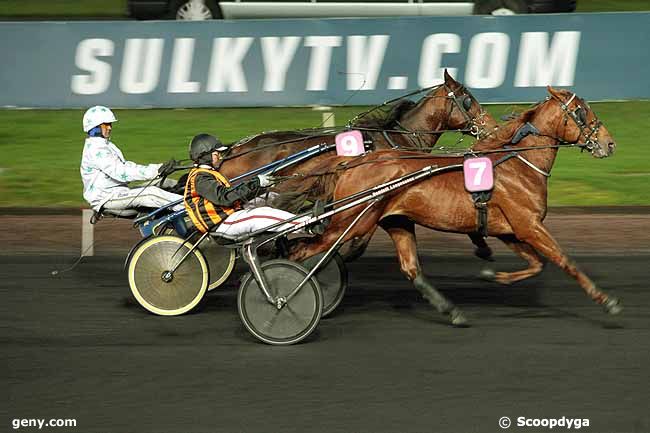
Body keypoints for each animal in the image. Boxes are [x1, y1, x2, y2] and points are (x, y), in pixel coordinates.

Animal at [288, 87, 616, 324]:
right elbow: (564, 261)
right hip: (350, 220)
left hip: (396, 221)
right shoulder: (529, 226)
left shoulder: (509, 231)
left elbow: (536, 264)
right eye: (581, 112)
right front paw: (607, 301)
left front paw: (493, 275)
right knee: (302, 252)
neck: (518, 164)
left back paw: (452, 311)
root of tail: (351, 162)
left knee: (411, 268)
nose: (610, 143)